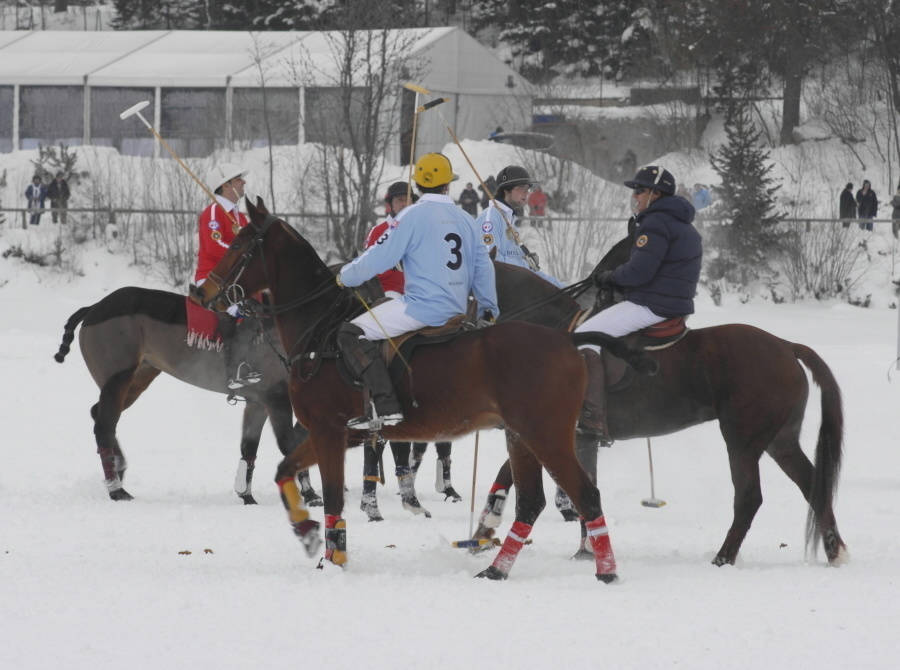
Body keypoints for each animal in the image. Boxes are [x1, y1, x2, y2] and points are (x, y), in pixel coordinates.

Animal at [51, 286, 320, 506]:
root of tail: (95, 307)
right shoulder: (276, 397)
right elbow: (290, 444)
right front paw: (309, 494)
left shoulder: (258, 402)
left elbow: (249, 448)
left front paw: (247, 494)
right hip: (117, 378)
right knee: (104, 426)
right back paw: (117, 490)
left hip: (139, 378)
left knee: (99, 414)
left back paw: (119, 468)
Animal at [193, 198, 652, 584]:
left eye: (239, 243)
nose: (202, 291)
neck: (318, 330)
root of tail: (571, 339)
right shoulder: (339, 435)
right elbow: (285, 469)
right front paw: (308, 534)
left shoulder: (328, 431)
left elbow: (334, 498)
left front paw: (333, 559)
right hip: (521, 435)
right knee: (533, 501)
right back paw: (496, 570)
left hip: (546, 435)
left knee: (585, 494)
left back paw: (605, 572)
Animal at [482, 240, 848, 568]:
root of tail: (787, 346)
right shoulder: (576, 438)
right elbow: (580, 487)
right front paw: (584, 551)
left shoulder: (548, 430)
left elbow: (519, 473)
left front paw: (487, 526)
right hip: (780, 441)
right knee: (812, 486)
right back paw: (835, 552)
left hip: (742, 440)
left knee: (748, 498)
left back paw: (723, 559)